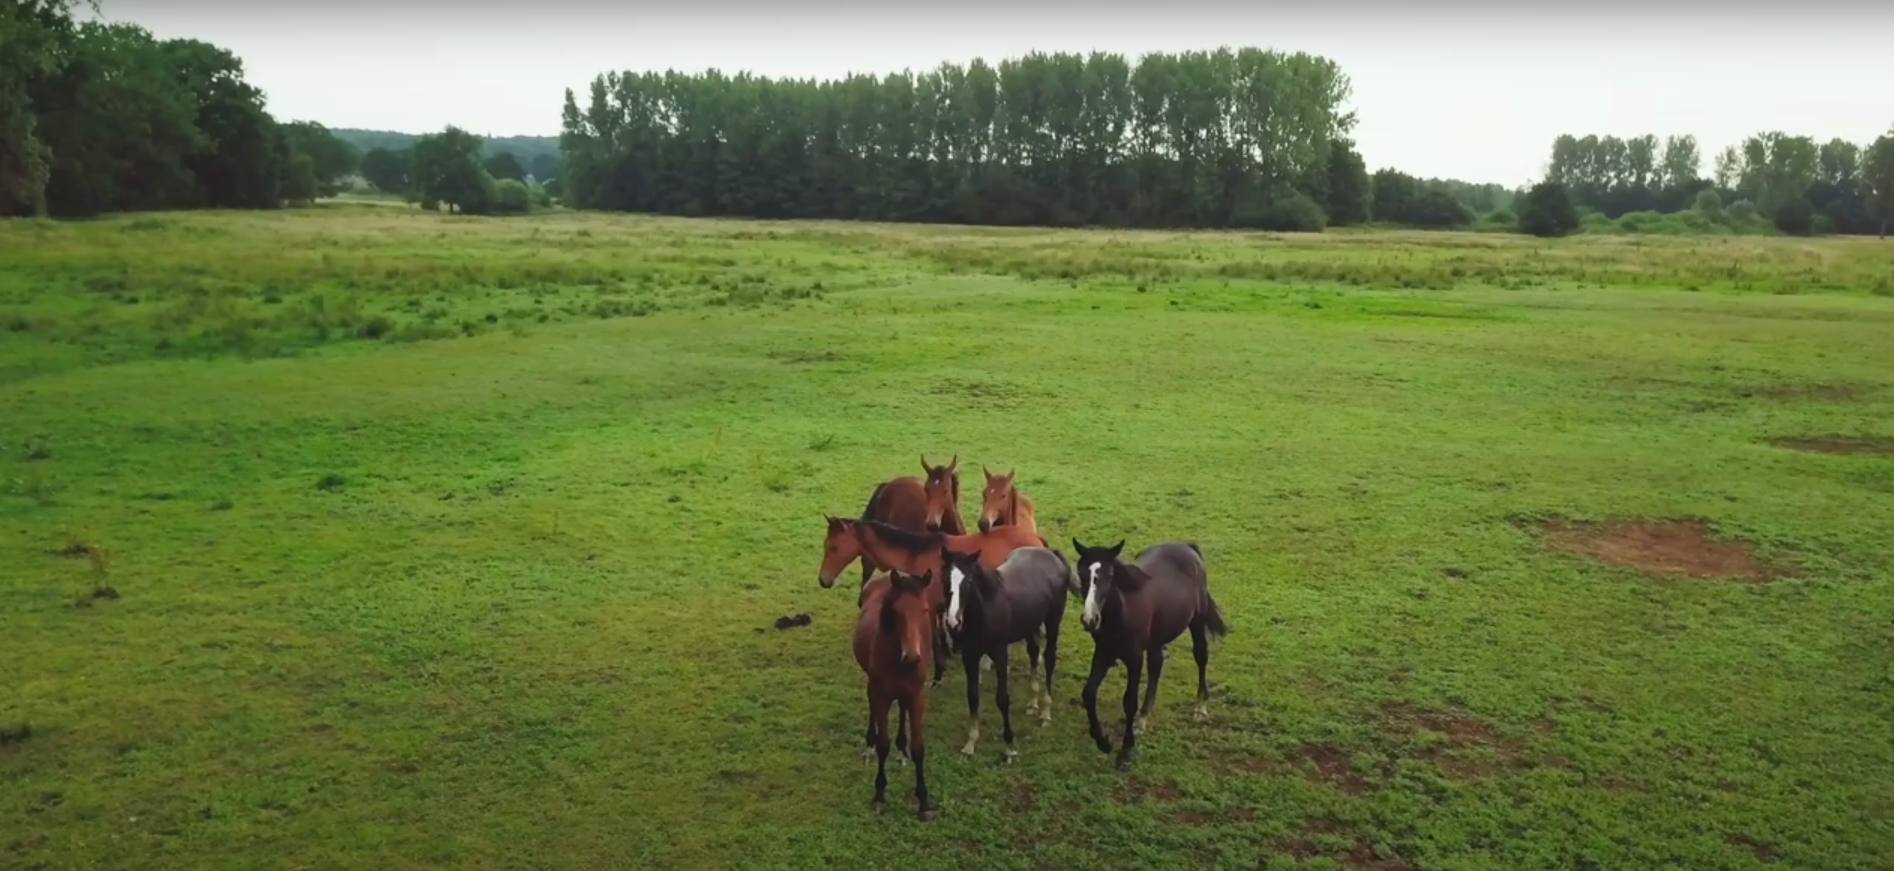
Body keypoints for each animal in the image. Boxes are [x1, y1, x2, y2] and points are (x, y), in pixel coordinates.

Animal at [818, 518, 1053, 685]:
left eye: (834, 547)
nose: (823, 580)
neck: (915, 556)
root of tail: (1037, 541)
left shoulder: (929, 610)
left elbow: (935, 640)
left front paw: (938, 673)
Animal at [852, 568, 939, 821]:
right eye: (896, 612)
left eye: (924, 610)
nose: (912, 658)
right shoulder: (881, 695)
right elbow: (883, 744)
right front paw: (879, 795)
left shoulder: (917, 696)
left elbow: (919, 747)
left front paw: (923, 801)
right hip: (872, 685)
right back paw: (869, 746)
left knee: (901, 707)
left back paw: (902, 750)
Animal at [939, 545, 1075, 761]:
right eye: (944, 578)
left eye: (969, 580)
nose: (953, 621)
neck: (986, 609)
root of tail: (1050, 553)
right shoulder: (970, 656)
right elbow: (972, 696)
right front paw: (971, 743)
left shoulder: (1000, 654)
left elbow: (1002, 698)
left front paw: (1009, 745)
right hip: (1030, 626)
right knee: (1034, 653)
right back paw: (1032, 703)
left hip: (1053, 622)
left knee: (1049, 659)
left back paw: (1045, 712)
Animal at [1068, 537, 1227, 768]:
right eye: (1081, 574)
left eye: (1109, 575)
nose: (1090, 619)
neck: (1123, 611)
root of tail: (1186, 546)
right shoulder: (1104, 653)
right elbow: (1088, 693)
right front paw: (1103, 742)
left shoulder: (1134, 658)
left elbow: (1129, 702)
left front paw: (1125, 752)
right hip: (1155, 639)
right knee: (1156, 665)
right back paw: (1143, 719)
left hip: (1197, 620)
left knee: (1200, 656)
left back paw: (1200, 707)